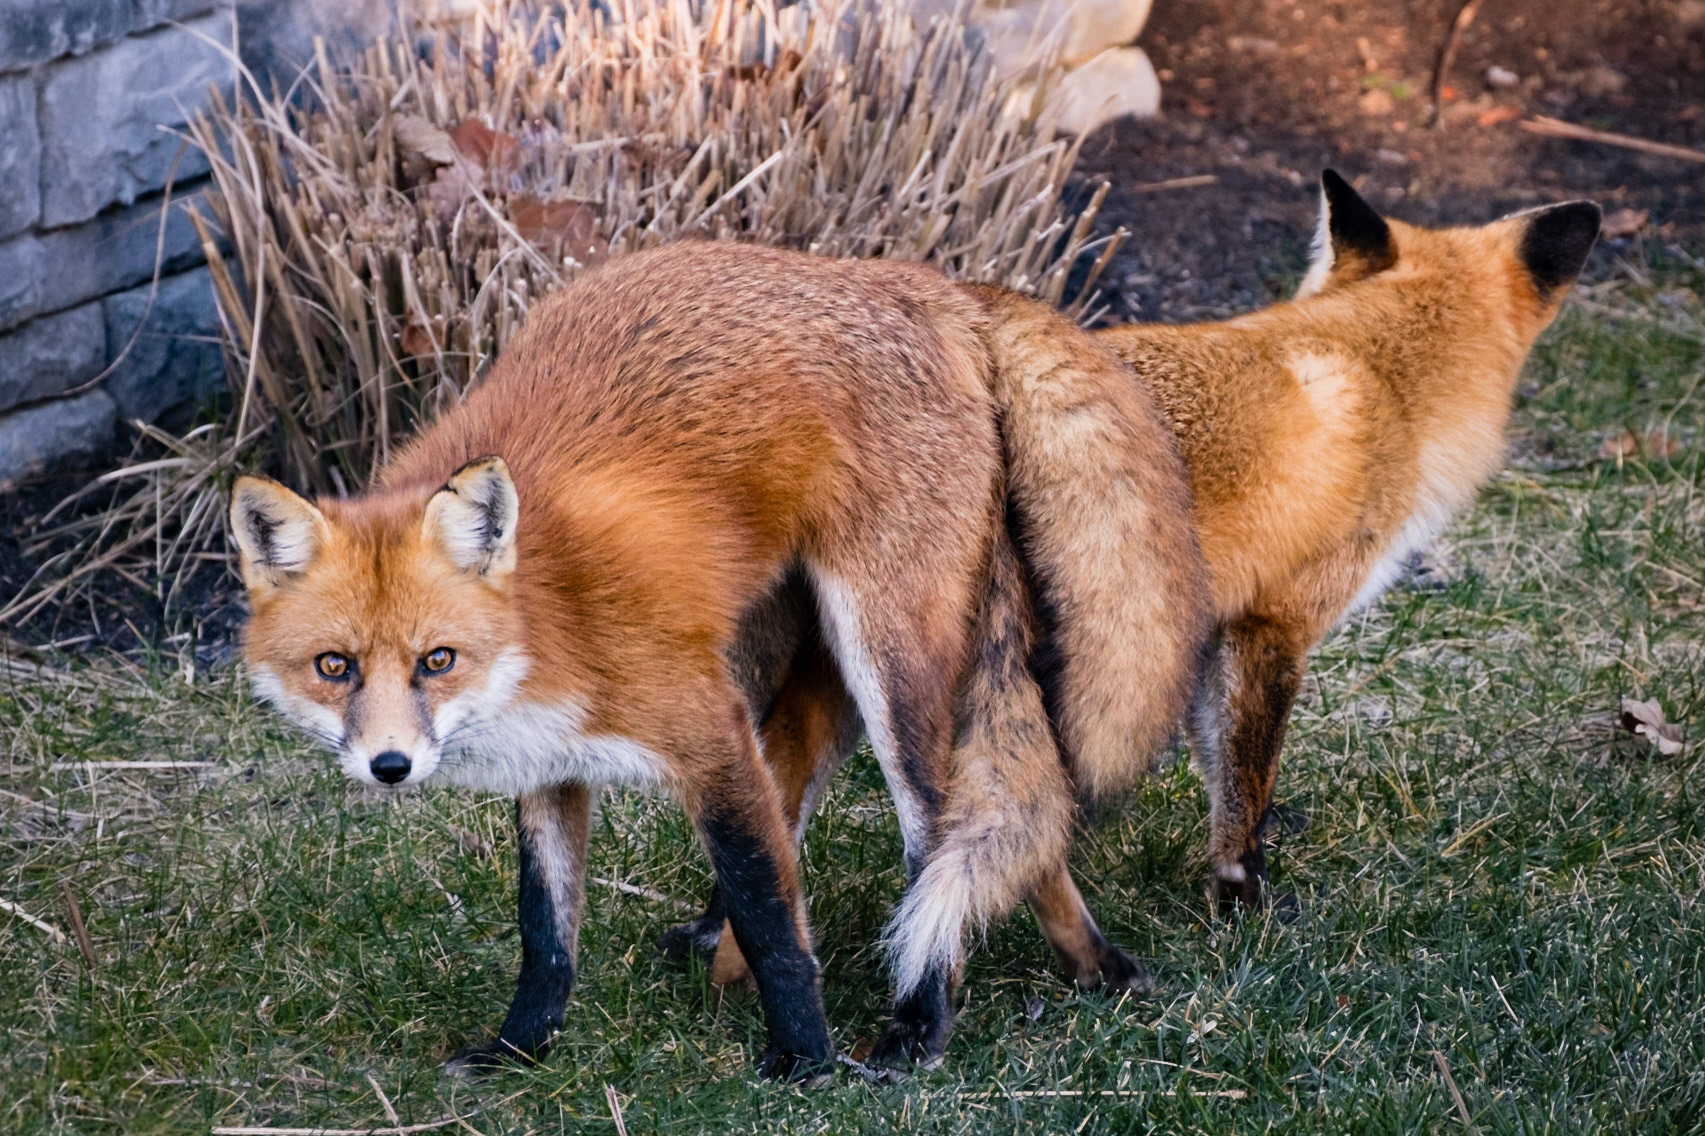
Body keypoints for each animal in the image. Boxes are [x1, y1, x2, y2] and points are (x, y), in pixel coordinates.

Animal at [229, 241, 1210, 1076]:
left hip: (884, 660)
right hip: (772, 650)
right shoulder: (550, 766)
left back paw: (922, 1022)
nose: (389, 766)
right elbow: (546, 931)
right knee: (842, 794)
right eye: (334, 667)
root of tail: (914, 279)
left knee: (936, 832)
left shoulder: (704, 731)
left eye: (437, 660)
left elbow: (774, 915)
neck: (545, 621)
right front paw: (521, 1048)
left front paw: (805, 1059)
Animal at [690, 171, 1601, 990]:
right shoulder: (1273, 625)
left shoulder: (1202, 636)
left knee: (781, 807)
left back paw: (734, 971)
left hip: (866, 667)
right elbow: (1243, 783)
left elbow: (1220, 767)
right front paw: (1241, 900)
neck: (1380, 368)